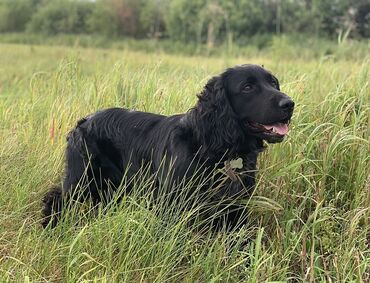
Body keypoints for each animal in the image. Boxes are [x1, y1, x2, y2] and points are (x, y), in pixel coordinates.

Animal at [41, 64, 294, 229]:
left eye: (273, 82)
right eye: (248, 87)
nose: (289, 103)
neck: (211, 146)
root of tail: (84, 121)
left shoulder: (235, 207)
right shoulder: (172, 205)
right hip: (80, 181)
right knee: (55, 198)